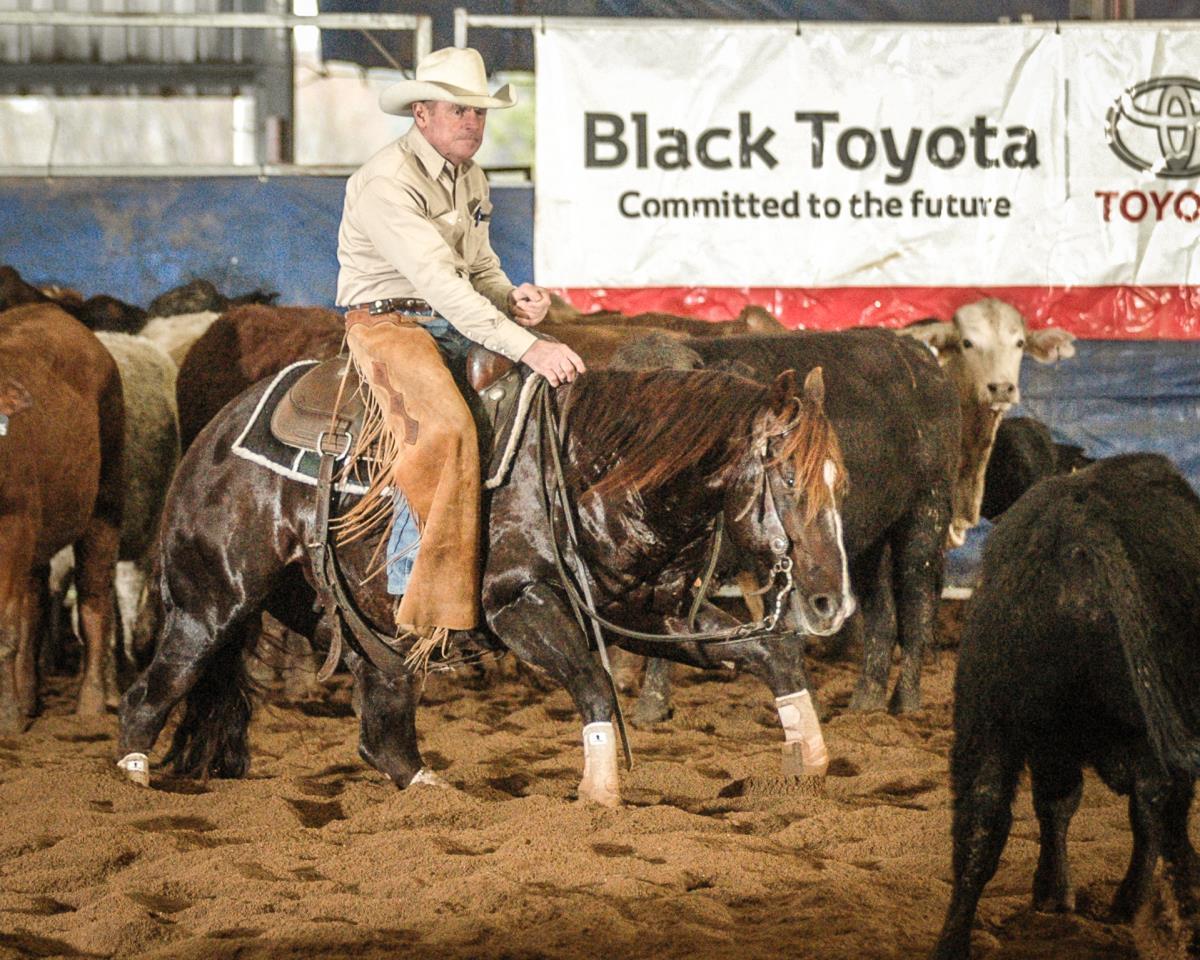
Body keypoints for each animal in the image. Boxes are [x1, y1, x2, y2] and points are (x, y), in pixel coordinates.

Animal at [0, 304, 124, 730]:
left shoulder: (13, 527)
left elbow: (5, 628)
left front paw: (6, 719)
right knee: (35, 606)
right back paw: (28, 698)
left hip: (104, 505)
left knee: (94, 599)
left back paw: (91, 703)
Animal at [117, 362, 854, 805]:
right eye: (788, 478)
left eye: (838, 481)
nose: (830, 601)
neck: (583, 468)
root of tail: (211, 437)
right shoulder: (517, 606)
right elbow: (591, 680)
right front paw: (599, 793)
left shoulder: (652, 612)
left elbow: (772, 651)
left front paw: (810, 761)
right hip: (208, 608)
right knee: (146, 698)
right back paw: (131, 787)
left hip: (371, 632)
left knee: (383, 735)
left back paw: (437, 800)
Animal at [932, 454, 1200, 959]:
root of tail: (1080, 522)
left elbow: (1055, 803)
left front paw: (1053, 893)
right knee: (1163, 812)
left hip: (987, 717)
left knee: (981, 824)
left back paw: (953, 943)